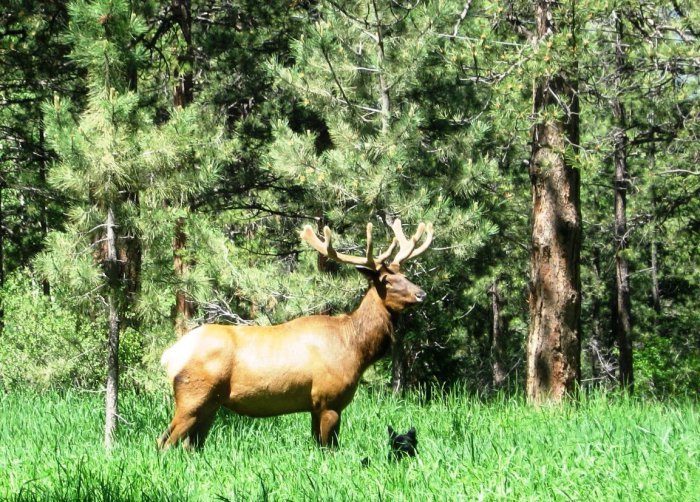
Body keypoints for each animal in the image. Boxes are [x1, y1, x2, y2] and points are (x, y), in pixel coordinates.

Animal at [157, 219, 432, 448]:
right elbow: (330, 449)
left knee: (191, 445)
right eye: (387, 281)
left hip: (210, 404)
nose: (422, 294)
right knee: (165, 442)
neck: (355, 348)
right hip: (192, 396)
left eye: (405, 275)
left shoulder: (314, 406)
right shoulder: (329, 400)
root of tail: (169, 355)